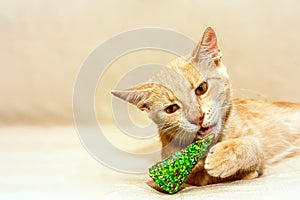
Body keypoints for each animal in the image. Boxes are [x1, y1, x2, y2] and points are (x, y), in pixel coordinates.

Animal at [110, 27, 300, 186]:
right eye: (171, 109)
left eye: (201, 89)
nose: (197, 118)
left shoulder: (259, 147)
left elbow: (254, 147)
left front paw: (226, 156)